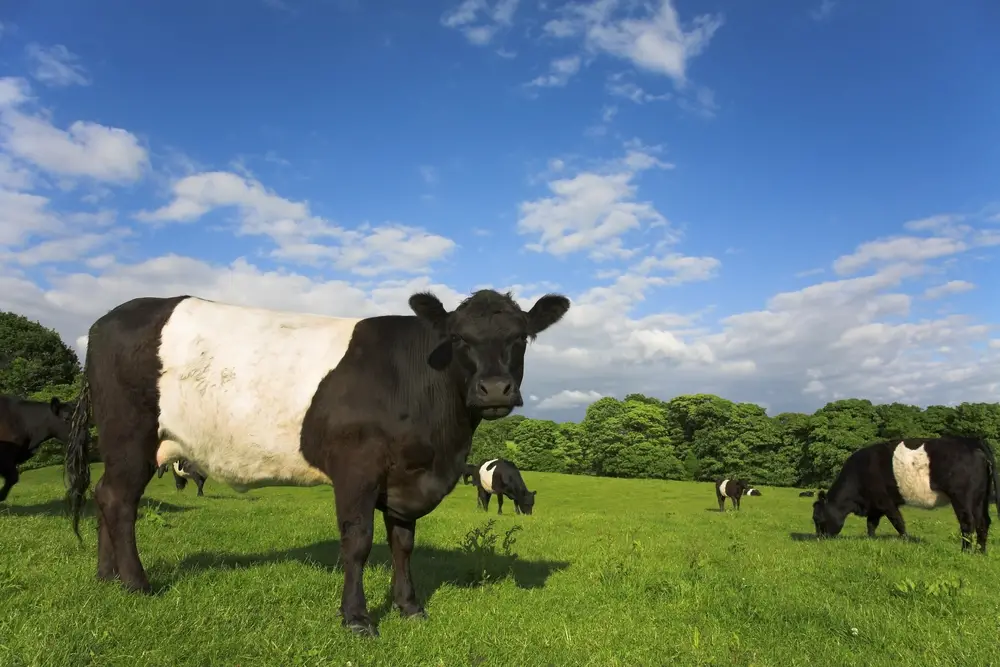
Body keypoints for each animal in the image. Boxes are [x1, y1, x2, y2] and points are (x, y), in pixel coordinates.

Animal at [62, 290, 572, 640]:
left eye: (521, 337)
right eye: (459, 338)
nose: (495, 389)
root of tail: (108, 318)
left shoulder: (405, 479)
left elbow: (403, 545)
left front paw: (409, 608)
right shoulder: (357, 469)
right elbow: (359, 543)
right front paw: (357, 619)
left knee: (105, 495)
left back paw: (106, 577)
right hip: (130, 436)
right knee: (119, 500)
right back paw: (136, 583)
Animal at [812, 434, 1000, 552]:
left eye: (817, 519)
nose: (819, 540)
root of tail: (971, 441)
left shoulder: (885, 502)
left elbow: (898, 522)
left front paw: (906, 541)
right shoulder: (875, 505)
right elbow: (871, 524)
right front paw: (871, 540)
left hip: (962, 497)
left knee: (968, 522)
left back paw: (965, 551)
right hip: (981, 497)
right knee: (983, 522)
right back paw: (980, 552)